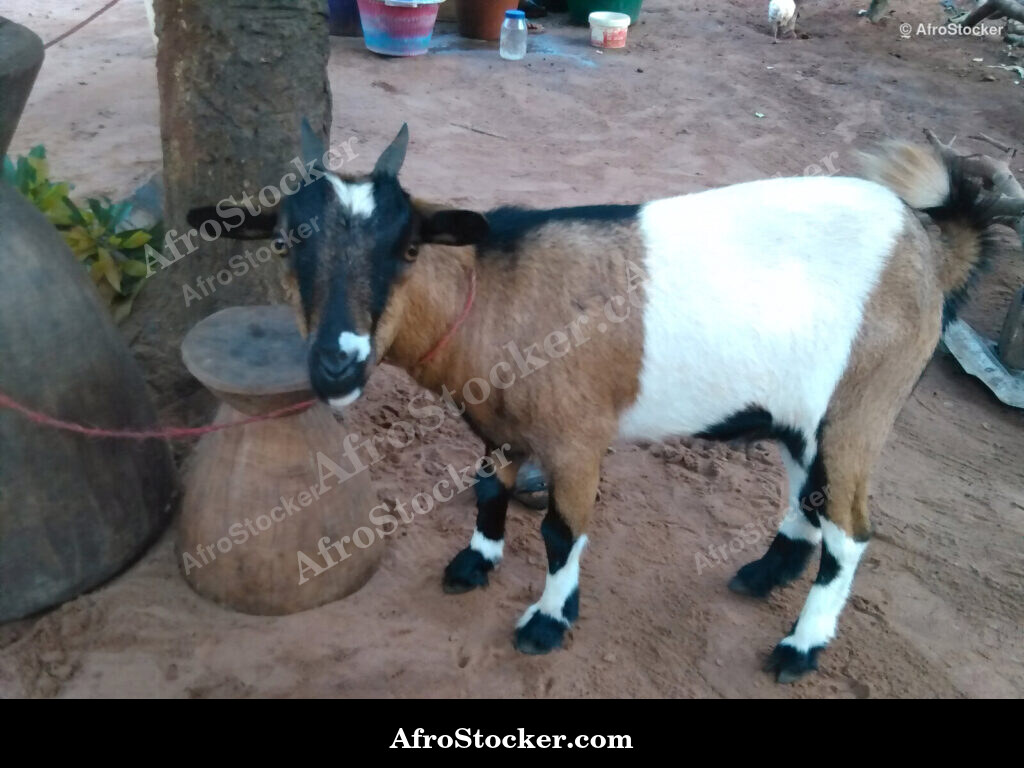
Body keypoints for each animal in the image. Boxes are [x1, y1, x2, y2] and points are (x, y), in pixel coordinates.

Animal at [189, 124, 1004, 682]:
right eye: (287, 242)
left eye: (408, 246)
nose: (336, 363)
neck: (496, 299)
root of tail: (929, 245)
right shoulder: (496, 424)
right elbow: (488, 491)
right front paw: (475, 563)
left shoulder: (577, 437)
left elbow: (561, 532)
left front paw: (549, 621)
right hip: (803, 412)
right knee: (809, 494)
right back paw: (763, 574)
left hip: (865, 402)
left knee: (852, 530)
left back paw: (800, 645)